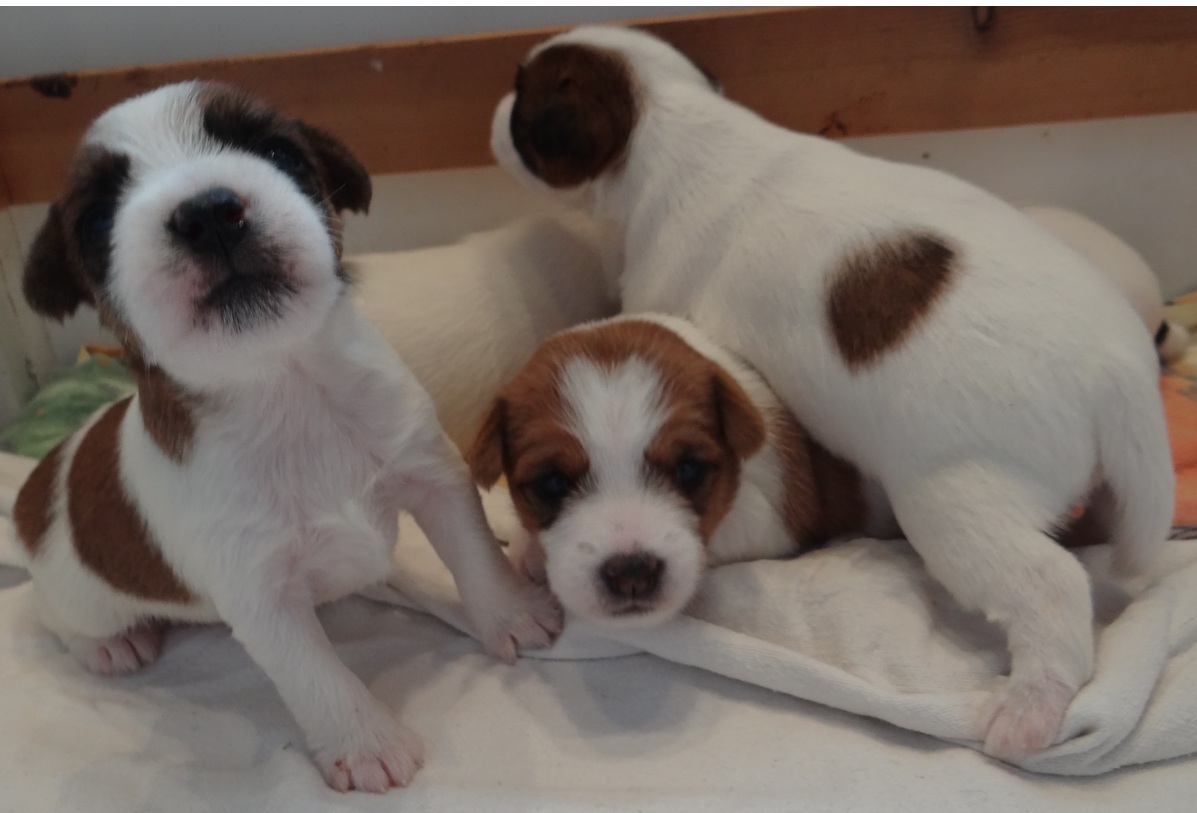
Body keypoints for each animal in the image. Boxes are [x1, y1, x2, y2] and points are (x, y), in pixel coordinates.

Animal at [11, 80, 562, 793]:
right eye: (99, 221)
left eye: (278, 153)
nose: (209, 213)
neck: (285, 385)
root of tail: (34, 489)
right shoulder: (260, 594)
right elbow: (316, 675)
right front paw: (365, 742)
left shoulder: (432, 474)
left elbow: (474, 556)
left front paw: (511, 616)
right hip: (79, 596)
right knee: (57, 618)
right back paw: (110, 644)